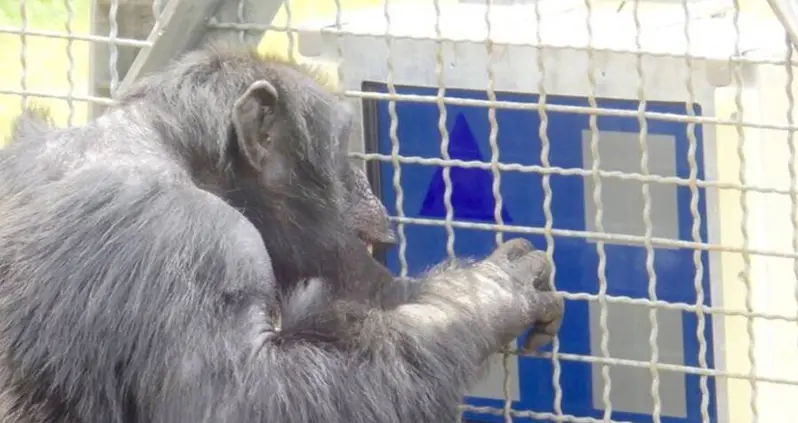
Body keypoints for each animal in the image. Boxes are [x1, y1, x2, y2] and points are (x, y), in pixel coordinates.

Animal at [0, 42, 564, 423]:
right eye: (340, 143)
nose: (359, 173)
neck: (180, 153)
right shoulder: (189, 236)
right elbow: (249, 403)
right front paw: (484, 294)